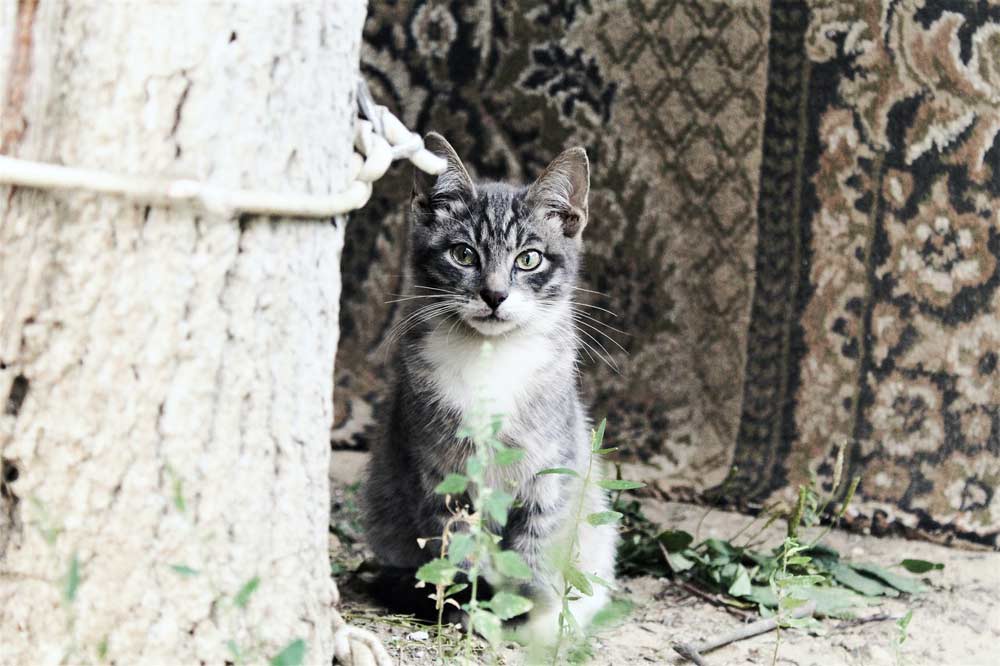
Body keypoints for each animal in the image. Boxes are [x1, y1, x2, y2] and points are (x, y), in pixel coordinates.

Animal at [362, 132, 616, 636]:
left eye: (529, 259)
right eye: (463, 254)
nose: (495, 294)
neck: (491, 357)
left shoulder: (552, 463)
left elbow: (537, 541)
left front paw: (526, 616)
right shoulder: (438, 470)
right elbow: (456, 545)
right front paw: (467, 608)